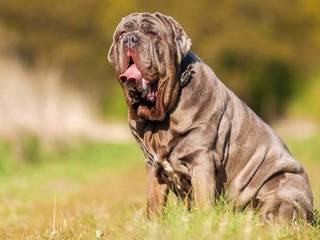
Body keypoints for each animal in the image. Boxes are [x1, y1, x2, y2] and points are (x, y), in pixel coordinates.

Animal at [109, 12, 314, 222]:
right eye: (122, 33)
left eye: (152, 33)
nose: (130, 39)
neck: (161, 116)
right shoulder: (153, 166)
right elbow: (154, 203)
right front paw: (154, 224)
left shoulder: (202, 160)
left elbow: (202, 200)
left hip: (283, 185)